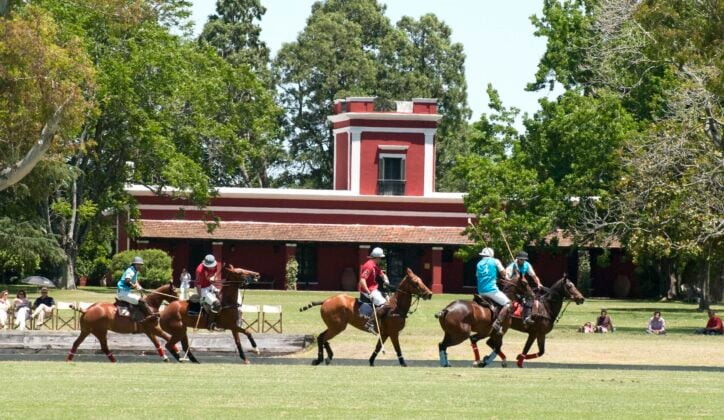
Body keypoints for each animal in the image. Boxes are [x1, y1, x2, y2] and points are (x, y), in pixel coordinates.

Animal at [298, 270, 430, 368]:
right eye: (415, 282)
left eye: (421, 280)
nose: (429, 294)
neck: (396, 307)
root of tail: (325, 301)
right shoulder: (393, 333)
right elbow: (397, 348)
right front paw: (403, 363)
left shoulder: (385, 333)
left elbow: (378, 347)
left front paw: (371, 361)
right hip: (337, 327)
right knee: (322, 338)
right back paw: (319, 359)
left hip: (334, 326)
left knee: (322, 337)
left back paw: (328, 357)